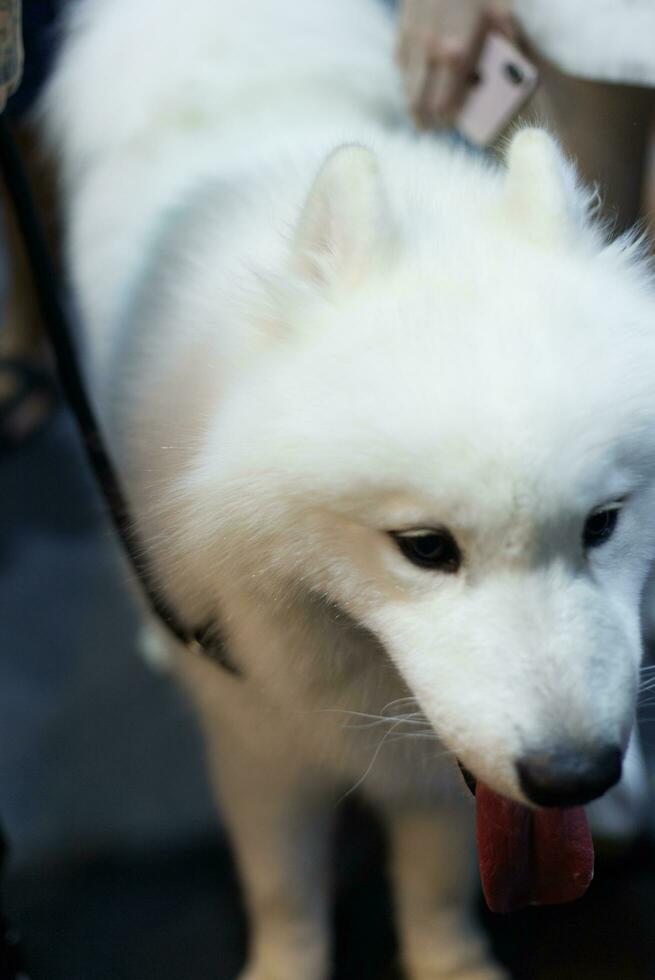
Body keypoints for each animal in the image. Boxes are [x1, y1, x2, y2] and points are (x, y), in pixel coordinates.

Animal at [41, 1, 655, 980]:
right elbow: (284, 887)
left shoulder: (443, 770)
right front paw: (286, 964)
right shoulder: (257, 740)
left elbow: (437, 888)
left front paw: (450, 964)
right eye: (424, 549)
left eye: (601, 524)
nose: (576, 776)